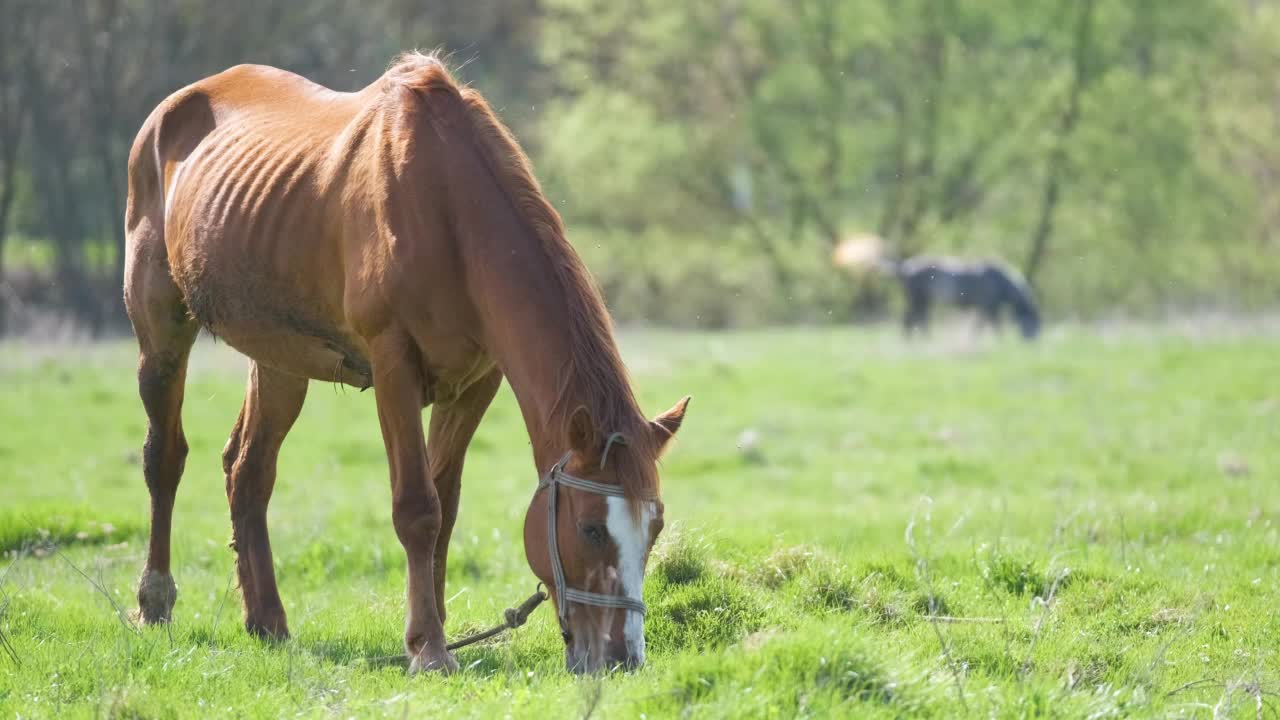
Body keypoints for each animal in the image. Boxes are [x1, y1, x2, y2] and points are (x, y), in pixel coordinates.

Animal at [124, 54, 691, 671]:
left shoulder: (477, 381)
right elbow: (419, 509)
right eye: (590, 529)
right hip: (160, 333)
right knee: (165, 458)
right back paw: (155, 601)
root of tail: (168, 111)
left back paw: (267, 620)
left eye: (654, 527)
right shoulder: (393, 365)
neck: (448, 212)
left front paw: (435, 625)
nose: (622, 657)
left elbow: (446, 507)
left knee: (248, 473)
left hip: (279, 360)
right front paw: (429, 648)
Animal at [885, 254, 1044, 338]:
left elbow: (983, 325)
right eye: (1034, 325)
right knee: (913, 319)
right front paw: (999, 340)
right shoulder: (988, 307)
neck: (999, 280)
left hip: (921, 301)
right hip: (918, 300)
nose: (1033, 344)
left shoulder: (988, 307)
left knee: (915, 320)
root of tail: (905, 268)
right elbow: (991, 325)